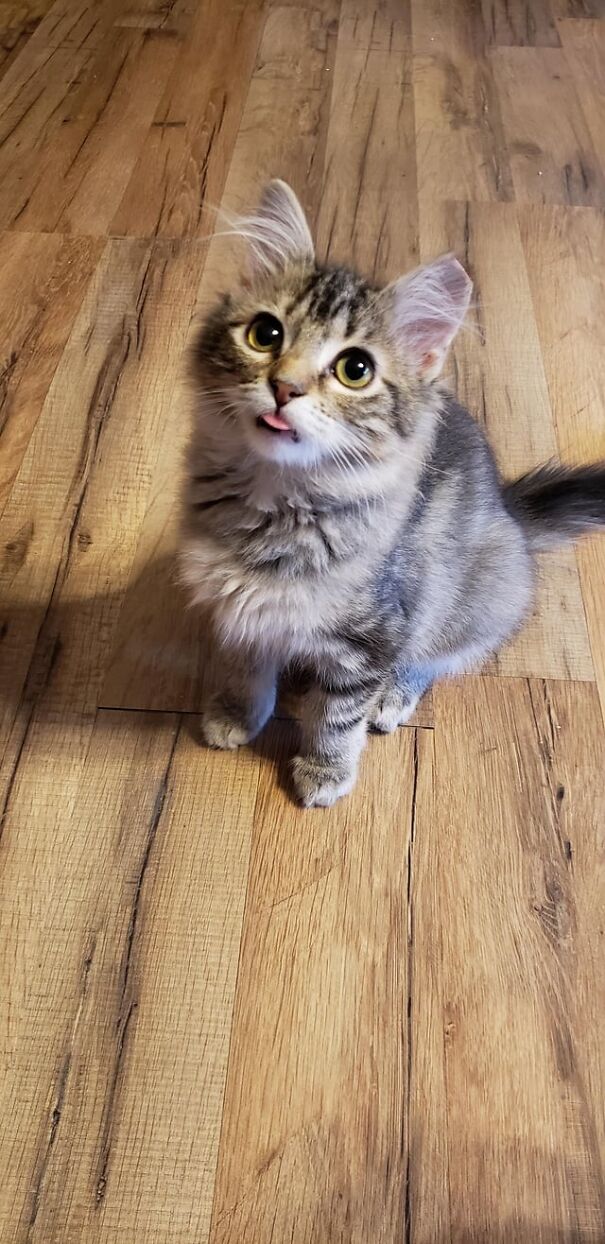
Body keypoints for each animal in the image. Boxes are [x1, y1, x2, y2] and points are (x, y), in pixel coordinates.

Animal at [181, 181, 605, 806]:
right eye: (266, 334)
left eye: (355, 369)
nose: (285, 387)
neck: (274, 505)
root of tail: (510, 511)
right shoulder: (240, 612)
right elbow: (245, 671)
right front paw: (235, 716)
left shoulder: (372, 636)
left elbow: (337, 716)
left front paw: (325, 773)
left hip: (467, 601)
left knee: (437, 658)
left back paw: (393, 698)